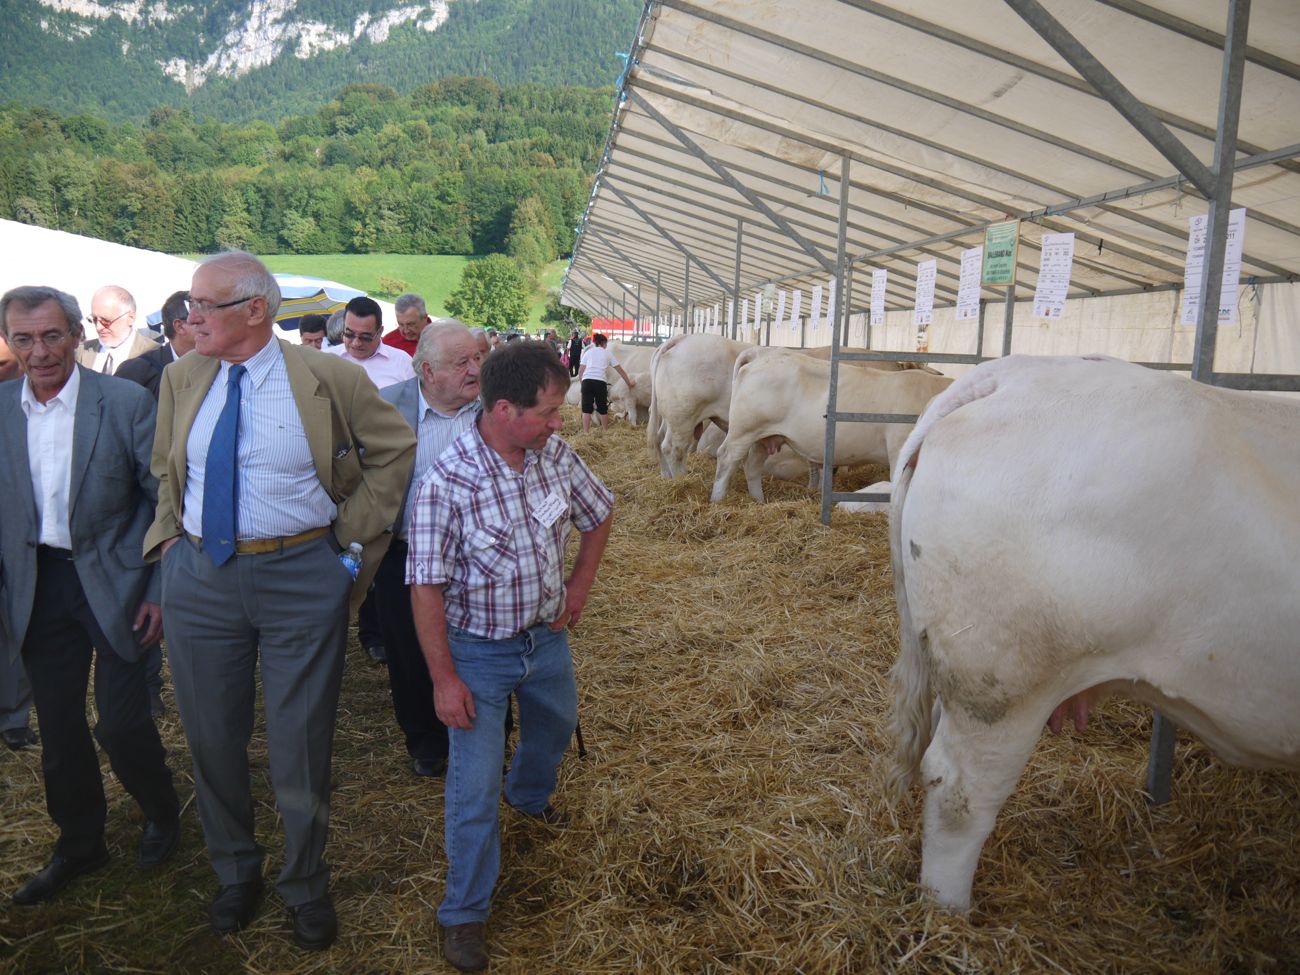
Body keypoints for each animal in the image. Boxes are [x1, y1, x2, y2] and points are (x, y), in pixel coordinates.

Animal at [647, 333, 751, 478]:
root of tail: (682, 338)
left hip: (670, 415)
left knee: (659, 438)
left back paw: (666, 475)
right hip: (683, 417)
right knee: (673, 448)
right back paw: (680, 478)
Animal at [709, 347, 951, 503]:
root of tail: (761, 355)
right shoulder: (899, 450)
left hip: (765, 436)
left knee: (752, 466)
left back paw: (759, 501)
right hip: (744, 430)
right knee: (727, 458)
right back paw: (717, 500)